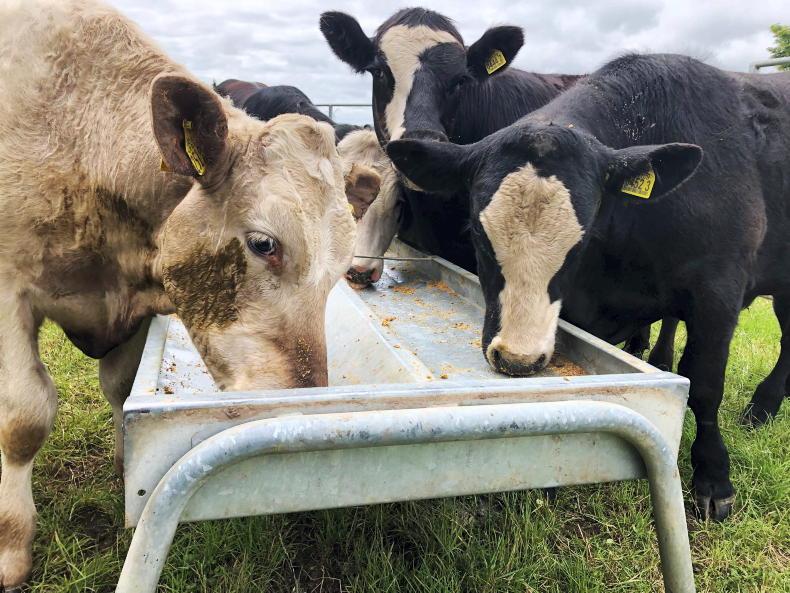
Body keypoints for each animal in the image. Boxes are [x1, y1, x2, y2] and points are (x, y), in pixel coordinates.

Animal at [0, 0, 379, 587]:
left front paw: (122, 463)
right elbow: (23, 415)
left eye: (338, 270)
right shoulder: (8, 290)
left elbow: (119, 387)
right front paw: (12, 548)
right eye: (264, 243)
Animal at [387, 53, 790, 522]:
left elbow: (706, 385)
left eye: (580, 242)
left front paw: (714, 478)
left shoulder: (718, 291)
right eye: (476, 235)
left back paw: (762, 406)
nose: (518, 359)